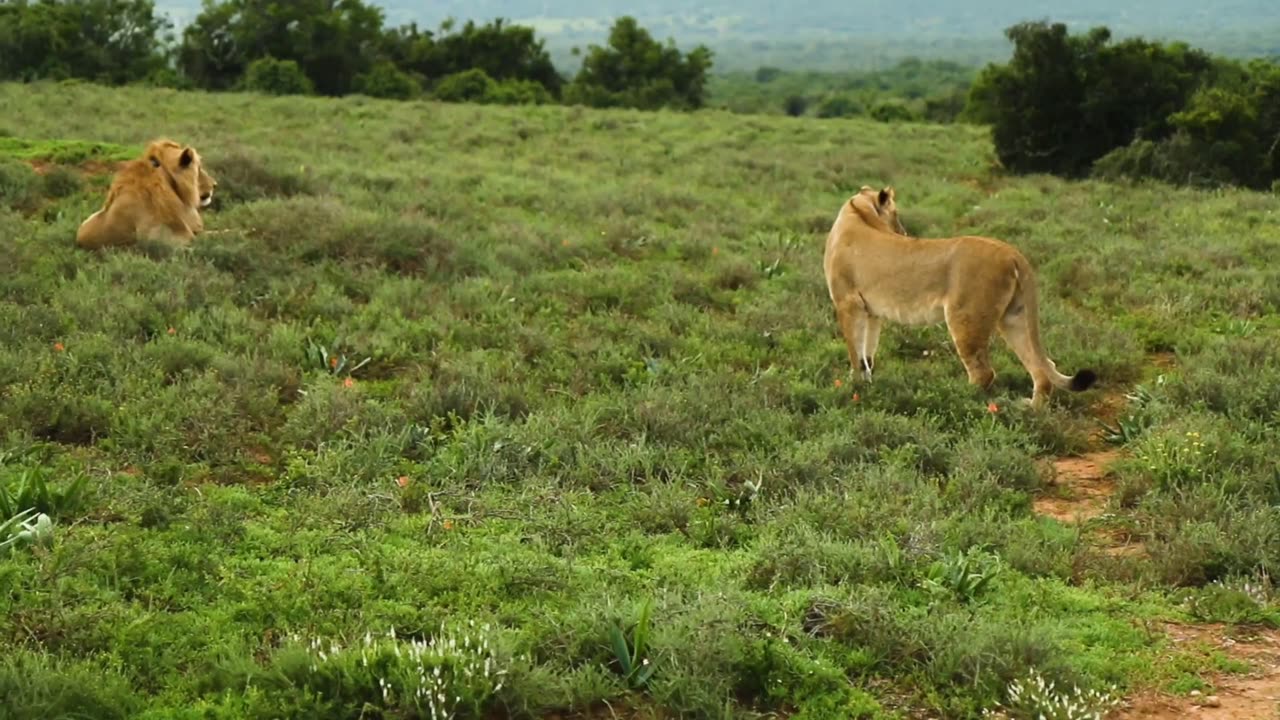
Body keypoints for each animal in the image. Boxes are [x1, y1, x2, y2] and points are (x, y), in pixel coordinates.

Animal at [824, 183, 1095, 409]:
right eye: (897, 214)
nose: (904, 232)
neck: (858, 211)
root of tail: (1012, 253)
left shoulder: (847, 303)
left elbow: (854, 351)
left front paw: (855, 388)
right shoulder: (871, 312)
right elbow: (867, 354)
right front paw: (868, 385)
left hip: (965, 317)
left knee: (983, 373)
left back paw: (956, 399)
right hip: (1014, 318)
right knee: (1043, 368)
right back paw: (1031, 410)